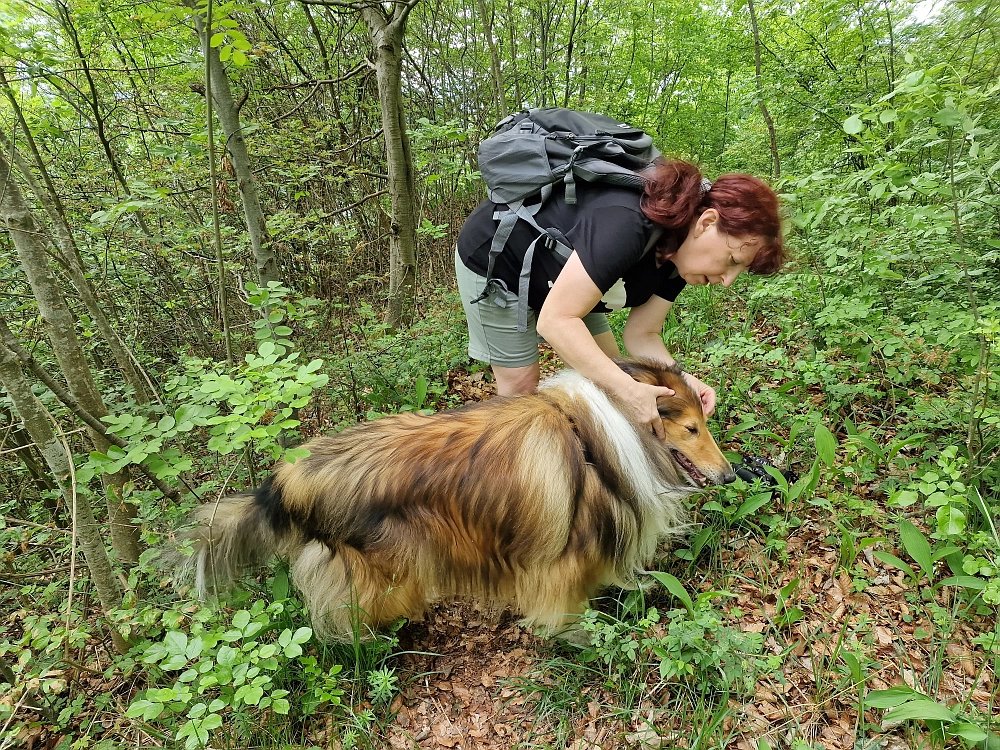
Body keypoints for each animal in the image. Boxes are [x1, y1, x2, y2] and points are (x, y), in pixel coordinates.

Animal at [174, 358, 736, 640]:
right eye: (691, 428)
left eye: (704, 421)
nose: (731, 474)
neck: (605, 435)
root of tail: (289, 477)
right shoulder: (561, 561)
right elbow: (567, 612)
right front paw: (578, 641)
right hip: (388, 570)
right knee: (348, 615)